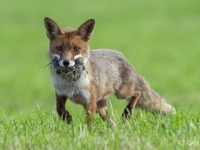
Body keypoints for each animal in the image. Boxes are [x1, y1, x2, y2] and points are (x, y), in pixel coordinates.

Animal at [43, 17, 173, 125]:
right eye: (59, 48)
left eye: (76, 49)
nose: (66, 62)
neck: (71, 83)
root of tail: (122, 56)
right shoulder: (60, 93)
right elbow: (59, 109)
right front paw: (67, 118)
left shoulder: (90, 102)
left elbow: (89, 123)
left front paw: (87, 135)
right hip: (101, 108)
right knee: (112, 121)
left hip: (122, 93)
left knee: (138, 92)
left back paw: (127, 112)